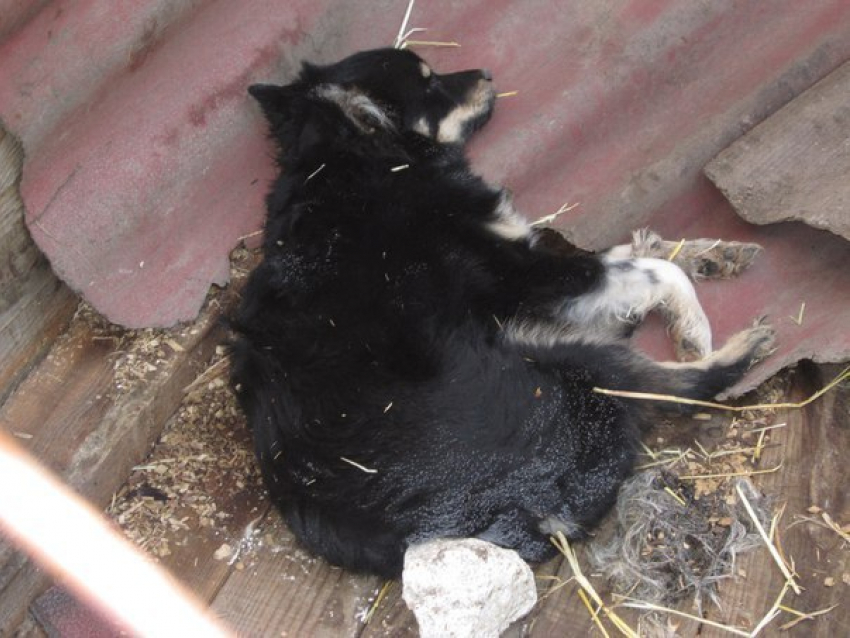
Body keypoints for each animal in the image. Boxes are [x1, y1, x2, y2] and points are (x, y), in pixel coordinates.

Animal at [229, 48, 772, 580]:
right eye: (429, 82)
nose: (487, 72)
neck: (361, 160)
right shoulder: (525, 280)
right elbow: (656, 272)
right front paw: (693, 327)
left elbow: (642, 254)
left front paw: (709, 252)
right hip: (559, 359)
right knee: (670, 387)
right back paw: (736, 351)